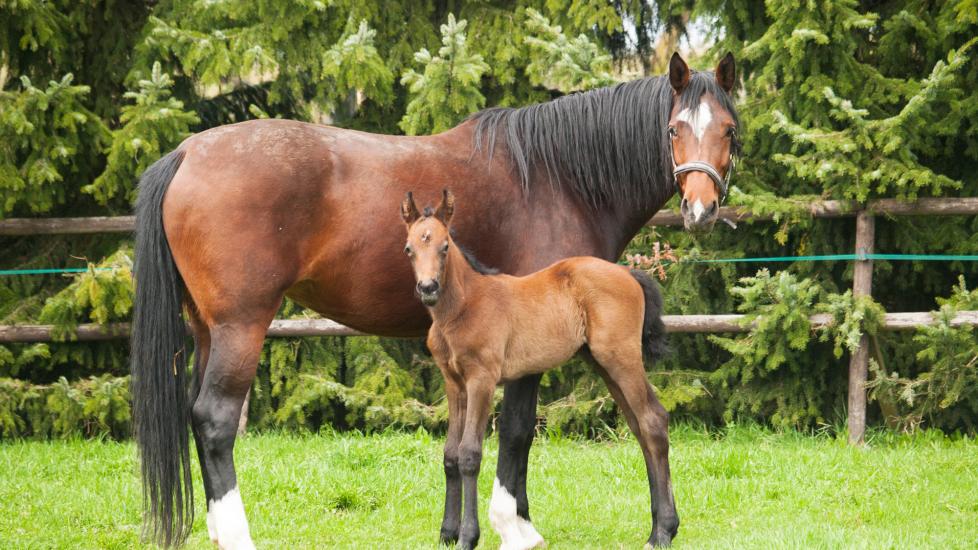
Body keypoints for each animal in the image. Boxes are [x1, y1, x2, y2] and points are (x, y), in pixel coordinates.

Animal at [401, 189, 673, 549]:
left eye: (444, 246)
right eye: (409, 248)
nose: (428, 288)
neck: (463, 306)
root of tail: (629, 274)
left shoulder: (481, 379)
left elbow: (470, 454)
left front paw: (468, 537)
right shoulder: (453, 382)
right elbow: (450, 455)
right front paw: (448, 532)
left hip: (621, 357)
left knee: (653, 421)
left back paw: (662, 533)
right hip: (602, 361)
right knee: (641, 424)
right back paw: (660, 527)